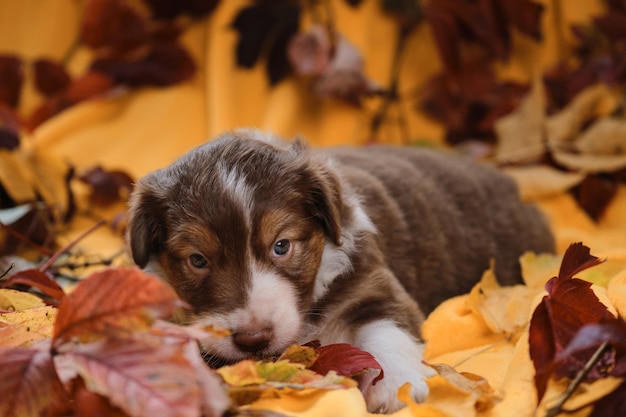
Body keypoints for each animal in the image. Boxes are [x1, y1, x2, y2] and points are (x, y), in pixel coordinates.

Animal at [125, 129, 552, 410]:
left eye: (282, 246)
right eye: (197, 260)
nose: (252, 339)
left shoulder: (373, 282)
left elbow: (385, 330)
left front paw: (401, 387)